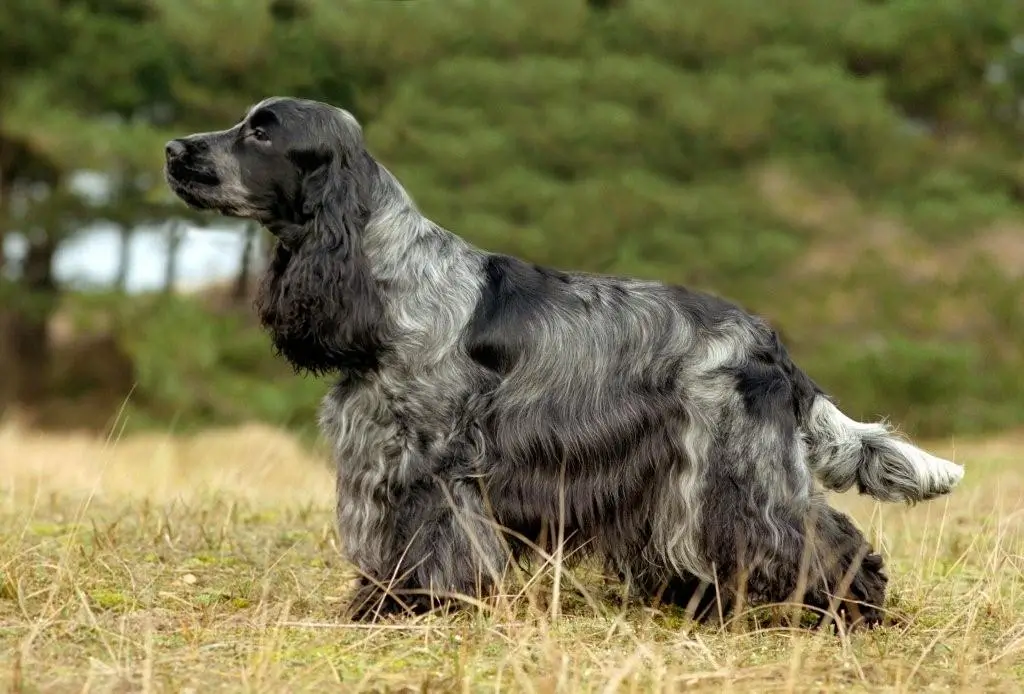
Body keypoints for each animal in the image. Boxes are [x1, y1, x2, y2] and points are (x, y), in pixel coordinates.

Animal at [163, 96, 962, 626]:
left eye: (261, 130)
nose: (173, 149)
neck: (387, 277)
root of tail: (774, 345)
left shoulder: (428, 460)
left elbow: (429, 540)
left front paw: (410, 606)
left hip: (734, 466)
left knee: (815, 534)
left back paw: (853, 610)